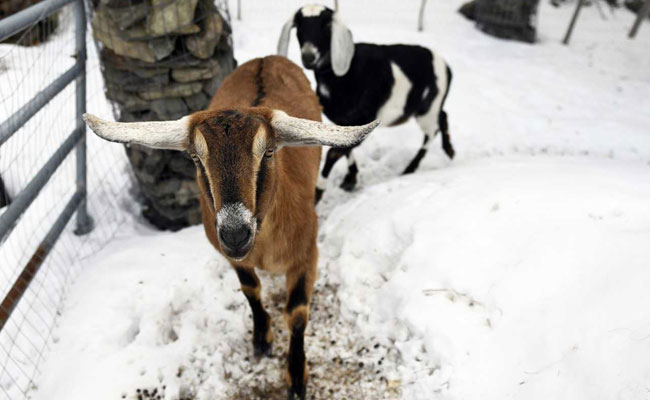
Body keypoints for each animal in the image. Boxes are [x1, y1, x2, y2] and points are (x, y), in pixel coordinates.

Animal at [83, 55, 378, 400]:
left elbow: (297, 313)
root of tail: (266, 58)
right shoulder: (231, 256)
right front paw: (261, 339)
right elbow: (251, 290)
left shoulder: (306, 254)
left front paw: (296, 377)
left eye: (268, 152)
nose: (236, 234)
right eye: (196, 157)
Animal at [278, 4, 454, 202]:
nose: (309, 57)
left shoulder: (365, 118)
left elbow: (334, 152)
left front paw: (318, 192)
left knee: (431, 132)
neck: (345, 75)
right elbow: (345, 146)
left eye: (326, 25)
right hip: (431, 107)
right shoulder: (344, 122)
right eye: (298, 26)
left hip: (428, 110)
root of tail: (446, 67)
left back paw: (410, 168)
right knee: (443, 116)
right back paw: (449, 150)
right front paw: (350, 179)